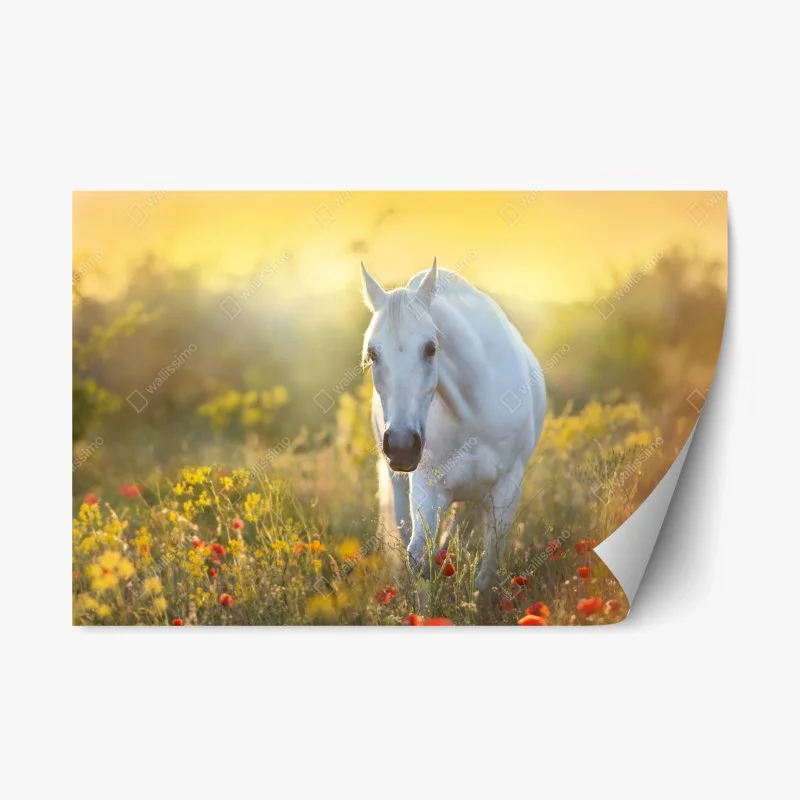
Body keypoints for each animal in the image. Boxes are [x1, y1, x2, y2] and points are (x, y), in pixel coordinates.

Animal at [360, 258, 546, 593]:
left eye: (431, 348)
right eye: (372, 352)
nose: (402, 446)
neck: (472, 411)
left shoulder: (507, 487)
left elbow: (488, 569)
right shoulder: (427, 487)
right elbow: (419, 558)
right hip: (400, 486)